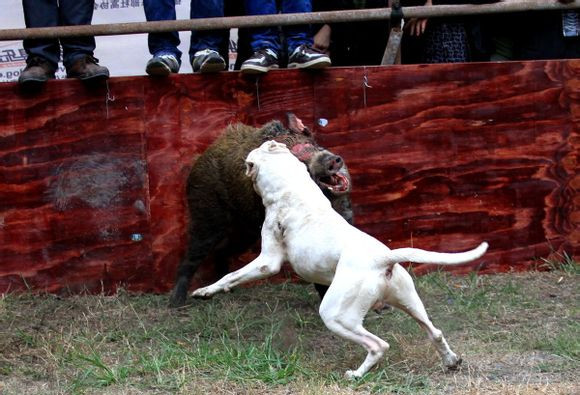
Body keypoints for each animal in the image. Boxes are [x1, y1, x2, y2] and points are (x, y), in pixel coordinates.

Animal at [193, 141, 488, 378]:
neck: (291, 186)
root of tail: (384, 257)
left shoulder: (268, 261)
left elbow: (230, 275)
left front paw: (205, 291)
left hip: (336, 315)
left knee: (378, 345)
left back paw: (356, 374)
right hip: (409, 301)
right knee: (434, 331)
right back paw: (451, 361)